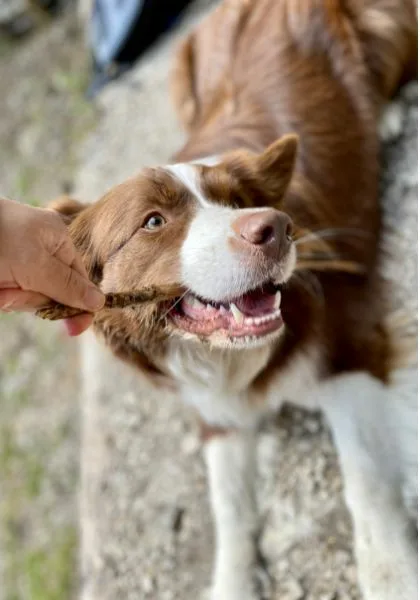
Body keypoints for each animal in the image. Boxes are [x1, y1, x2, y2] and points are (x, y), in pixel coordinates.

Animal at [51, 1, 416, 600]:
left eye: (239, 200)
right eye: (153, 222)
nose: (276, 228)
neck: (224, 357)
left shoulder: (349, 346)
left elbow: (364, 478)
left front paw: (393, 576)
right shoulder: (213, 411)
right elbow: (228, 508)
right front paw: (232, 582)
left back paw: (386, 115)